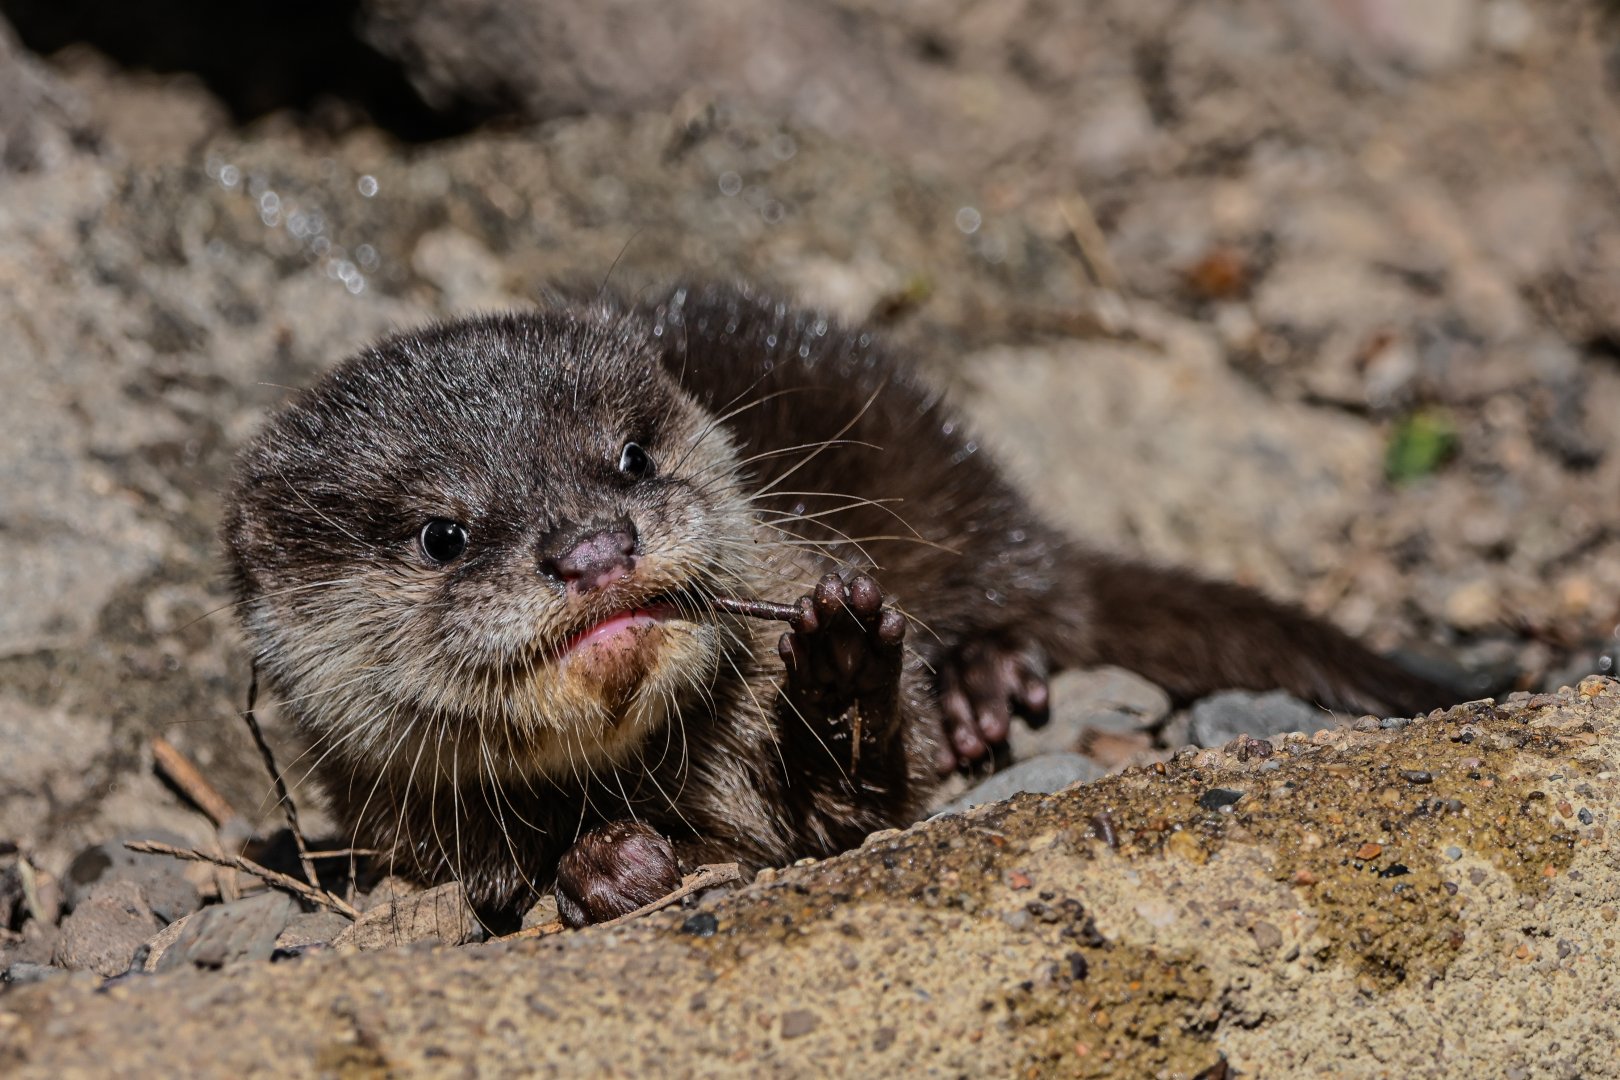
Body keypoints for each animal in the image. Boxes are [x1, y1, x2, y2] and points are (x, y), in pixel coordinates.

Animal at [222, 282, 1448, 928]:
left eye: (628, 458)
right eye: (444, 534)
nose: (592, 547)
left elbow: (856, 808)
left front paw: (844, 664)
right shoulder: (409, 827)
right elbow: (490, 881)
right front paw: (603, 865)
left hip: (944, 478)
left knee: (1031, 593)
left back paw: (983, 679)